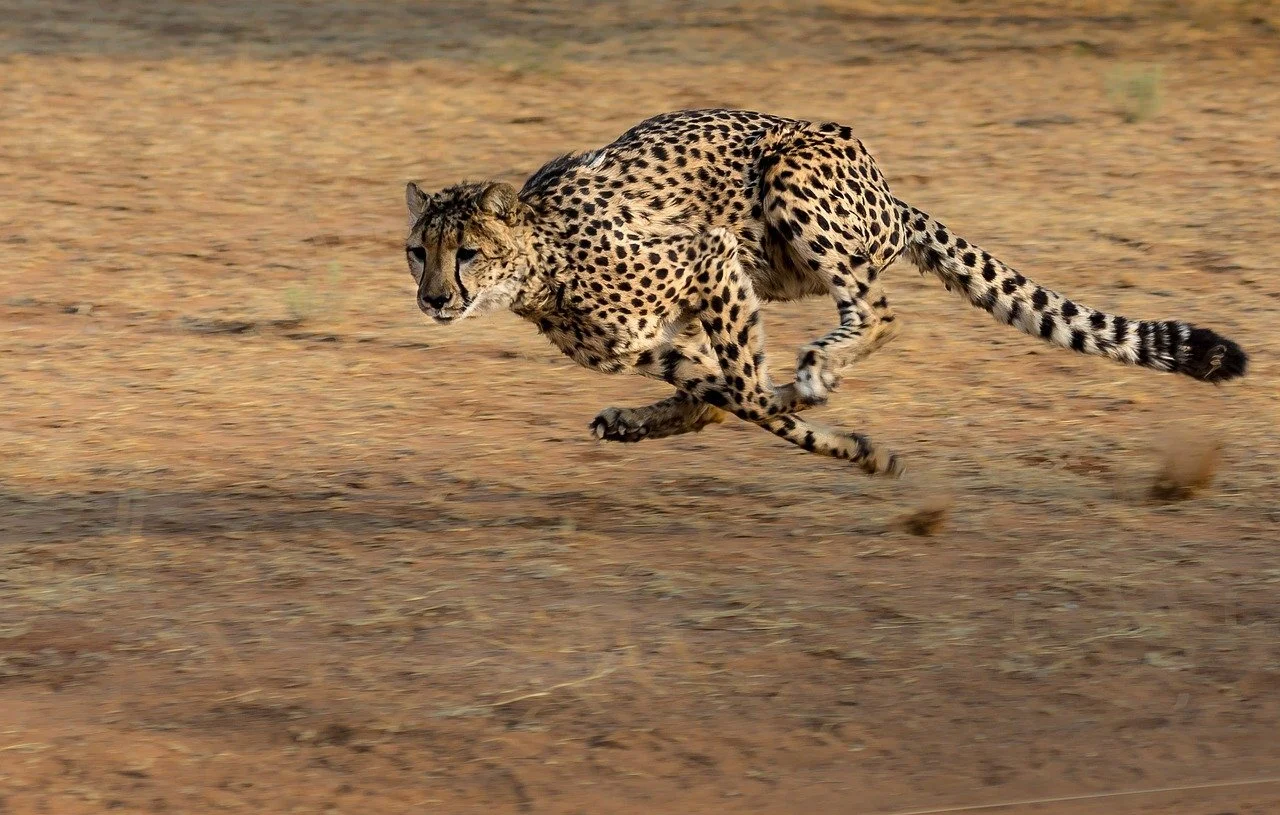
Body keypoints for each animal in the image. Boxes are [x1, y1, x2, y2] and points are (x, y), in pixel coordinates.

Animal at [401, 109, 1249, 475]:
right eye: (418, 253)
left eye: (466, 253)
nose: (434, 299)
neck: (538, 265)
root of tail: (888, 189)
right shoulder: (656, 341)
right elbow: (727, 397)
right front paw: (846, 442)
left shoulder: (709, 255)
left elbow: (749, 394)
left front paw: (840, 433)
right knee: (727, 391)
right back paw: (653, 418)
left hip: (790, 182)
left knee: (877, 310)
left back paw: (817, 369)